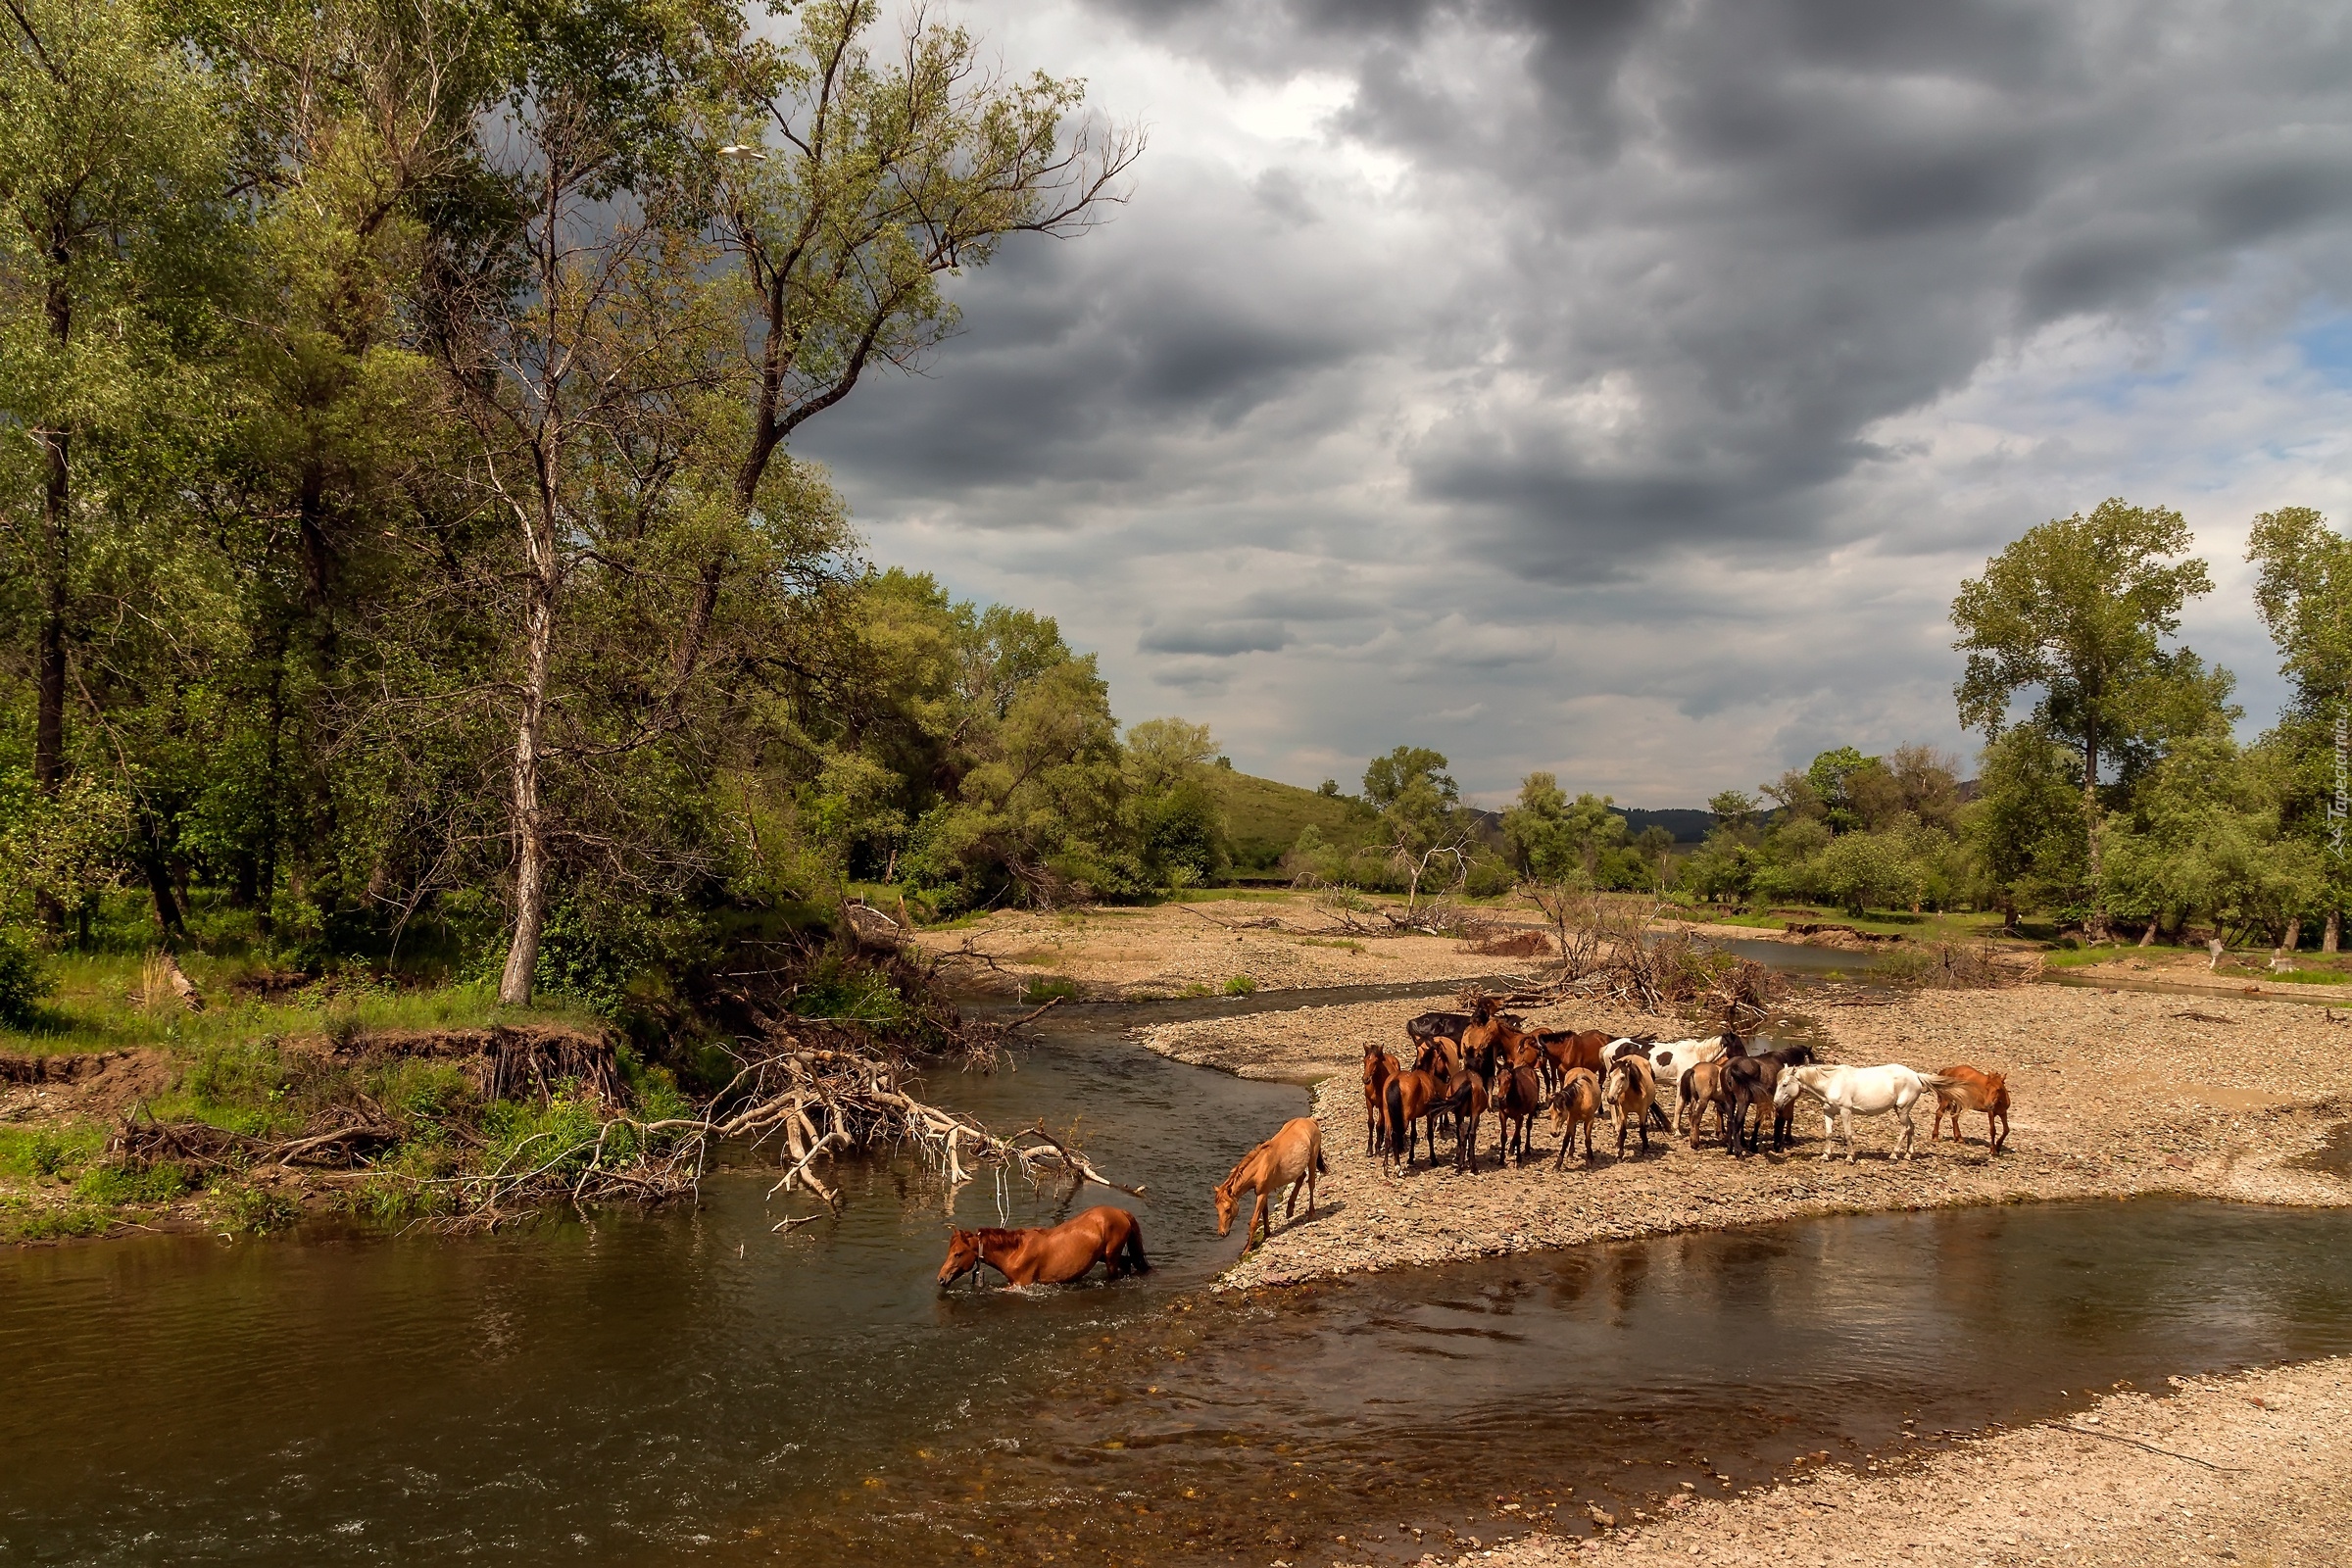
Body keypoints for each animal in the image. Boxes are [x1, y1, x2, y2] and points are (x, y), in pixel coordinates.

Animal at [941, 1212, 1152, 1298]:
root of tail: (1121, 1212)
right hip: (1105, 1256)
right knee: (1127, 1263)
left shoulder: (1022, 1284)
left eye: (958, 1254)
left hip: (1110, 1257)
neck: (1015, 1252)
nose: (941, 1279)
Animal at [1213, 1114, 1326, 1250]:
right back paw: (1289, 1210)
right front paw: (1266, 1234)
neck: (1261, 1166)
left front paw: (1246, 1249)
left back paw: (1311, 1214)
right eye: (1217, 1208)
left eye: (1228, 1209)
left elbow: (1254, 1221)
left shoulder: (1262, 1194)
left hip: (1312, 1160)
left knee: (1311, 1184)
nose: (1222, 1233)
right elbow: (1265, 1213)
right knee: (1301, 1177)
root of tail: (1311, 1121)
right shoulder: (1263, 1192)